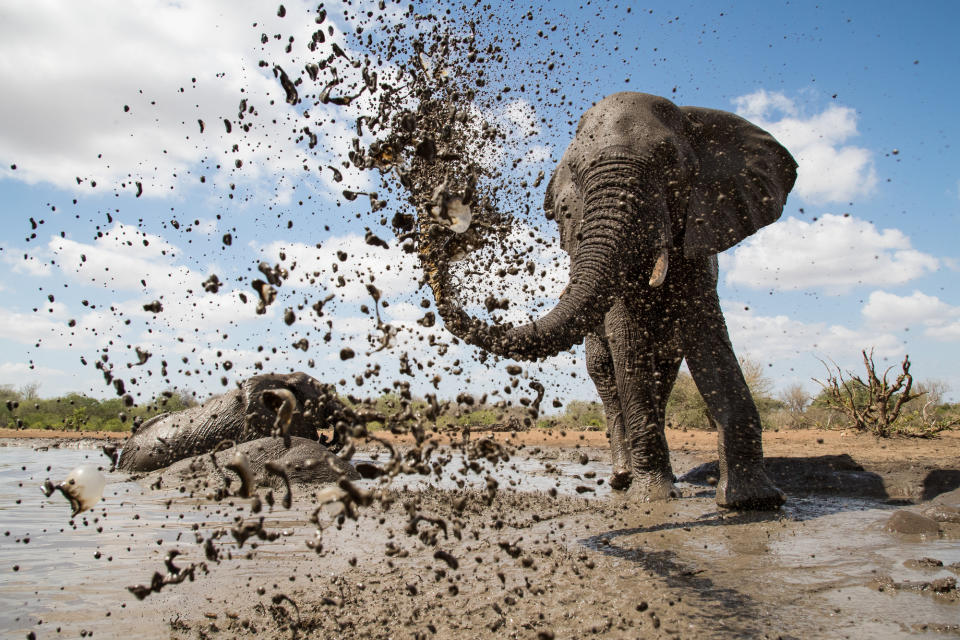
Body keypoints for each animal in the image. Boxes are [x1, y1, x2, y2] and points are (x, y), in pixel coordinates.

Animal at [424, 91, 800, 510]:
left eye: (670, 162)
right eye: (576, 170)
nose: (442, 232)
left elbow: (709, 339)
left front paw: (754, 501)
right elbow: (628, 341)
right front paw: (653, 497)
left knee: (663, 371)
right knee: (606, 370)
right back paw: (622, 478)